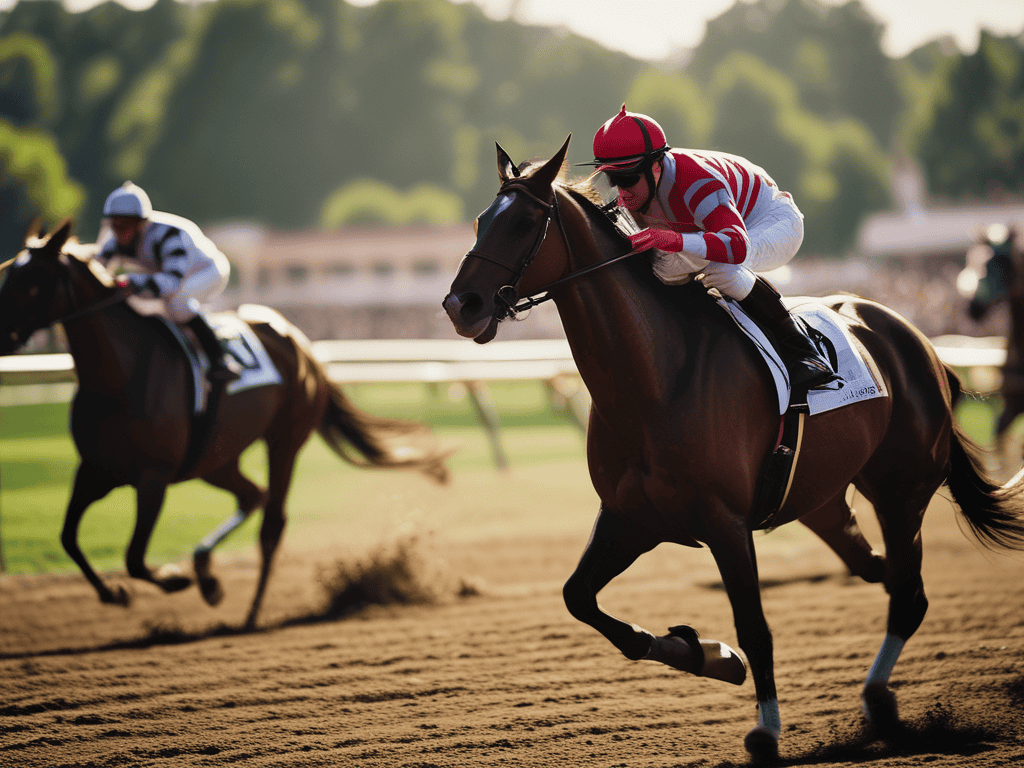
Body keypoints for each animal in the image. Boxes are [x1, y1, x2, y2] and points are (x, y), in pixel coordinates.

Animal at [0, 220, 450, 629]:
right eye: (8, 271)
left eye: (31, 281)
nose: (4, 335)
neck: (120, 375)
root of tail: (299, 342)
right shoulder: (93, 470)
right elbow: (68, 538)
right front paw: (116, 593)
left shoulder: (153, 477)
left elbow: (135, 558)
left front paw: (174, 580)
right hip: (215, 458)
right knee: (252, 495)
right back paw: (206, 572)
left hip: (284, 440)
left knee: (272, 522)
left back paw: (250, 611)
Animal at [442, 136, 1024, 761]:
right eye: (479, 221)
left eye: (525, 222)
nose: (461, 305)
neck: (656, 380)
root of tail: (917, 340)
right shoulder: (630, 518)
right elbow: (581, 600)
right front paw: (710, 654)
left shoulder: (725, 524)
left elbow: (755, 625)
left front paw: (765, 728)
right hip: (823, 500)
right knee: (886, 574)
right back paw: (875, 695)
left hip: (901, 489)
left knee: (909, 593)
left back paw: (876, 697)